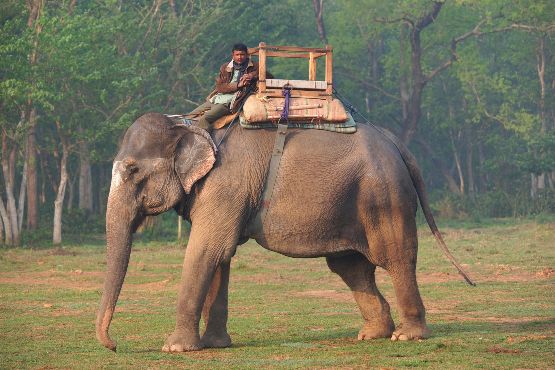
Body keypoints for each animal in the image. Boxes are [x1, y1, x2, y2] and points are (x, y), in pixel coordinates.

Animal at [96, 112, 474, 352]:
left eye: (132, 170)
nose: (114, 346)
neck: (191, 124)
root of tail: (396, 143)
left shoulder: (225, 185)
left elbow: (205, 250)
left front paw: (175, 348)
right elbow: (220, 256)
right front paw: (215, 345)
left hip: (384, 196)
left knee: (395, 257)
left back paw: (407, 337)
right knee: (350, 267)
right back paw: (371, 334)